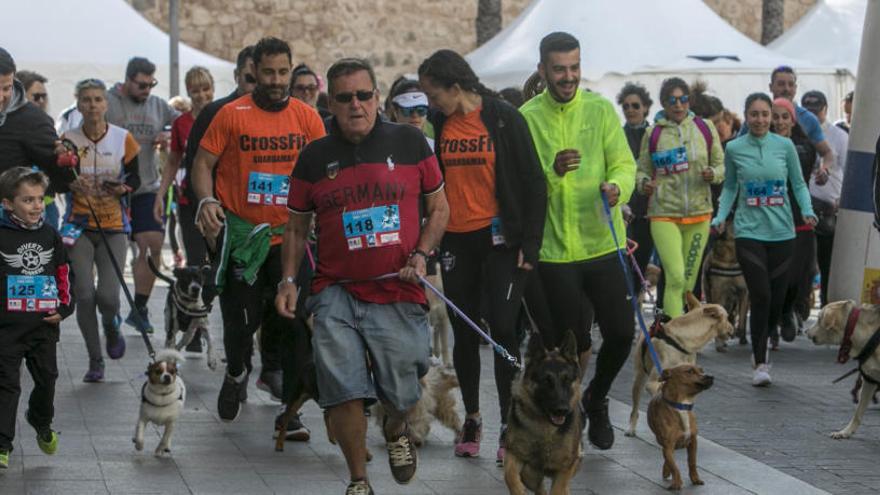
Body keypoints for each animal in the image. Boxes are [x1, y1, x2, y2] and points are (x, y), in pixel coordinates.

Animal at [624, 294, 736, 438]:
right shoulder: (652, 383)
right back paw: (631, 429)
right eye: (727, 317)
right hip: (639, 378)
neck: (683, 342)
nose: (733, 329)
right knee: (635, 409)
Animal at [648, 364, 716, 492]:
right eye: (689, 371)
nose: (711, 376)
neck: (682, 406)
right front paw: (677, 482)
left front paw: (695, 479)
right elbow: (674, 466)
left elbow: (692, 462)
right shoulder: (668, 445)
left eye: (702, 370)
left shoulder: (693, 442)